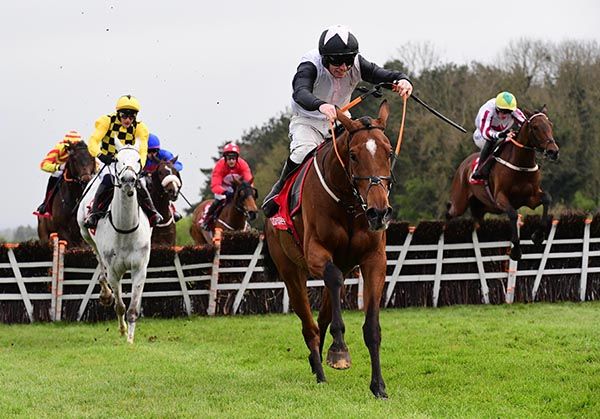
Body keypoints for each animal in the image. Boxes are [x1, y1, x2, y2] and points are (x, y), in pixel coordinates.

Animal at [77, 139, 152, 342]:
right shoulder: (114, 272)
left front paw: (130, 340)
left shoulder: (139, 269)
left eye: (138, 159)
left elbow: (132, 309)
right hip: (86, 234)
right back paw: (105, 293)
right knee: (99, 260)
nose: (128, 180)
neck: (125, 229)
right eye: (117, 159)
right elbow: (119, 306)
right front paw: (123, 330)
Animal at [264, 101, 394, 400]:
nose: (379, 212)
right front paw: (339, 352)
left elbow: (372, 328)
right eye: (354, 155)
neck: (348, 203)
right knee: (309, 325)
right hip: (290, 270)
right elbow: (332, 280)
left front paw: (378, 386)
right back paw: (320, 370)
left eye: (389, 152)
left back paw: (317, 363)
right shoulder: (316, 253)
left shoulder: (374, 260)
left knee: (321, 317)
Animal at [446, 106, 556, 260]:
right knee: (449, 213)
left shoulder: (531, 198)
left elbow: (547, 199)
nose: (553, 151)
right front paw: (516, 251)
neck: (520, 165)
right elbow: (513, 214)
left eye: (550, 124)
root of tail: (463, 165)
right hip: (459, 202)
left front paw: (538, 236)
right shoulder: (500, 198)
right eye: (535, 127)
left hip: (481, 208)